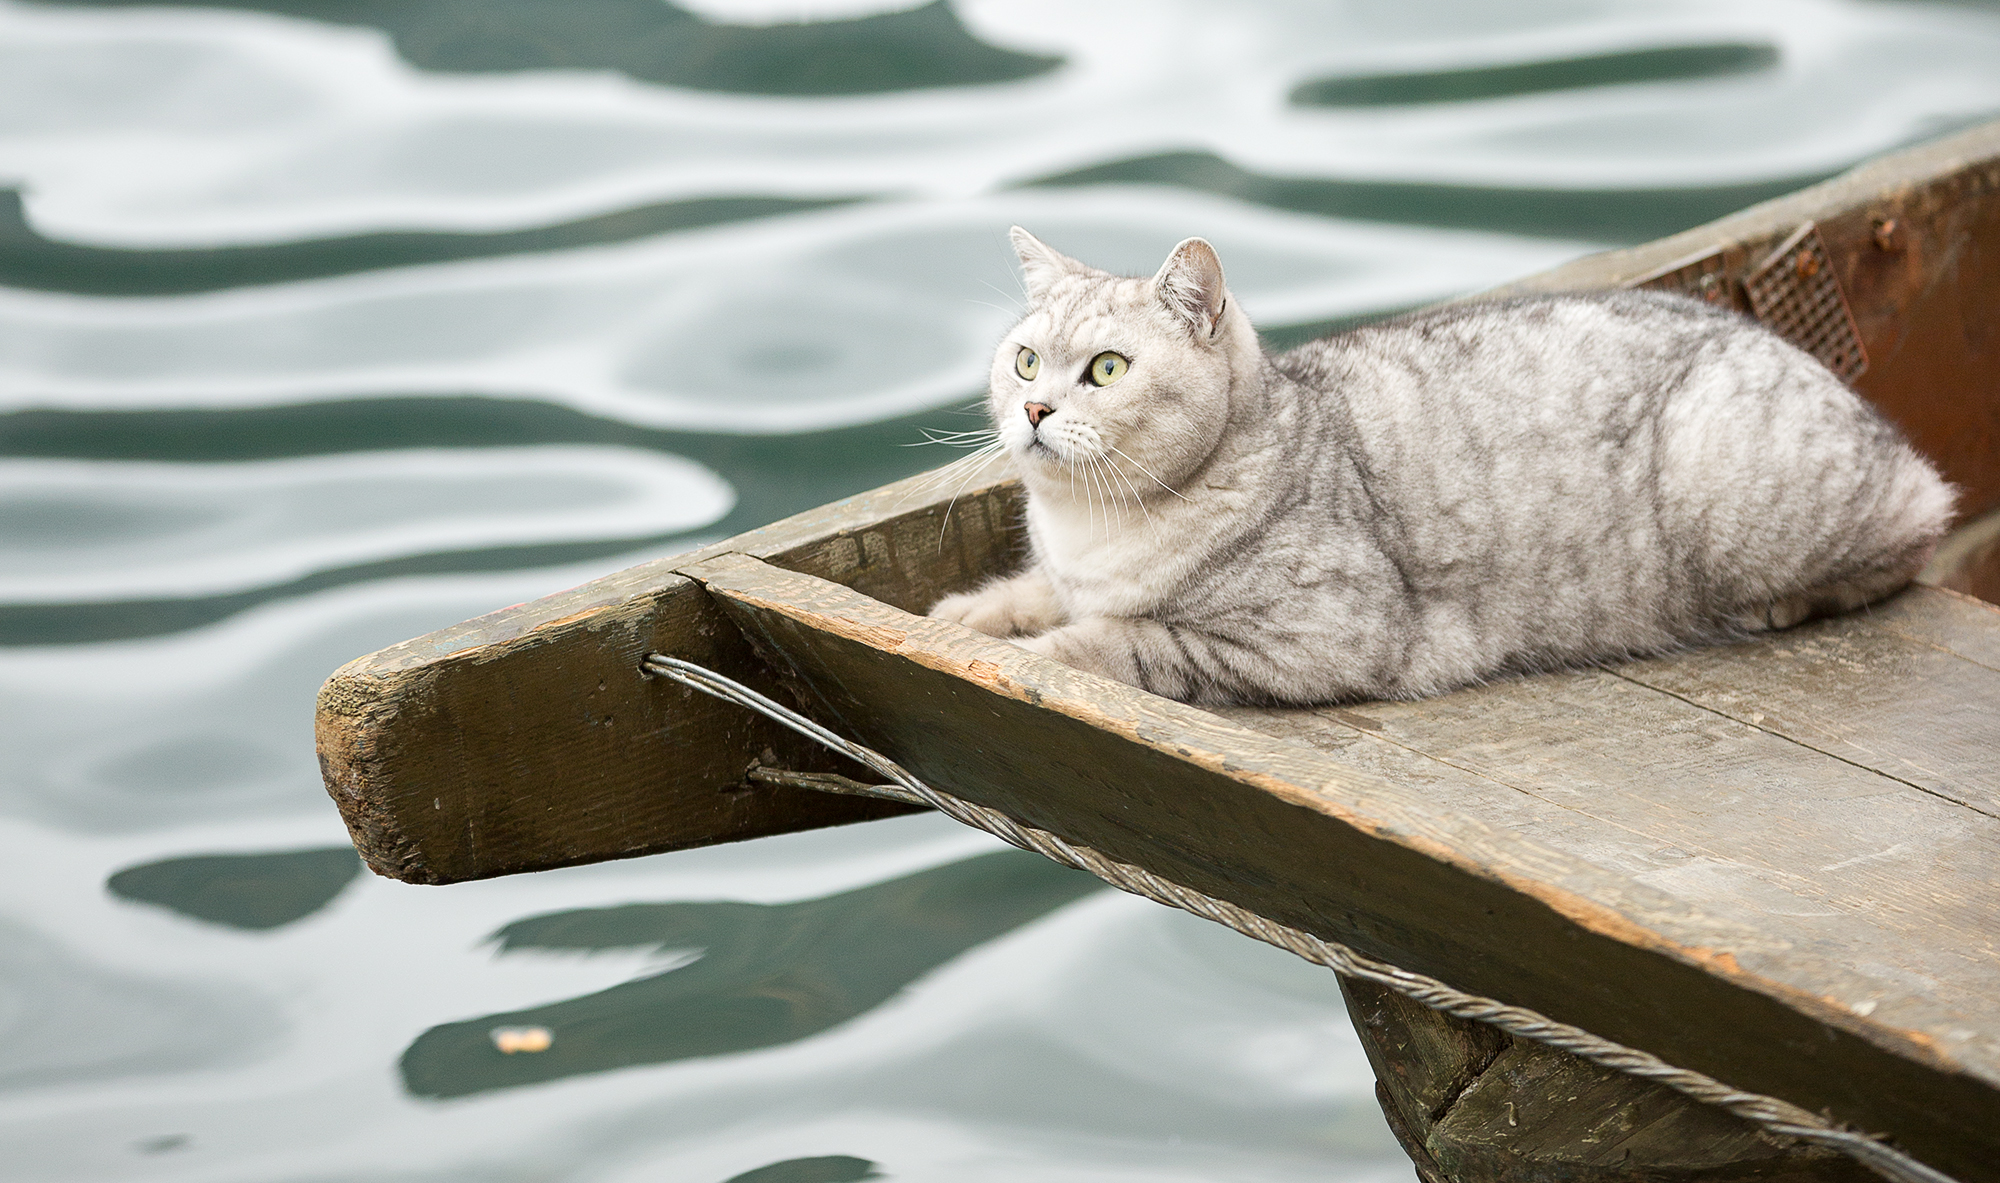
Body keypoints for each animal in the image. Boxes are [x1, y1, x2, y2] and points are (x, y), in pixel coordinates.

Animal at [932, 228, 1952, 703]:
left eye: (1107, 369)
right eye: (1025, 360)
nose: (1034, 409)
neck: (1092, 529)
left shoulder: (1319, 635)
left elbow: (1115, 640)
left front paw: (1026, 647)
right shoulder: (1065, 571)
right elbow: (1033, 593)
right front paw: (971, 613)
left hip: (1748, 493)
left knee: (1920, 520)